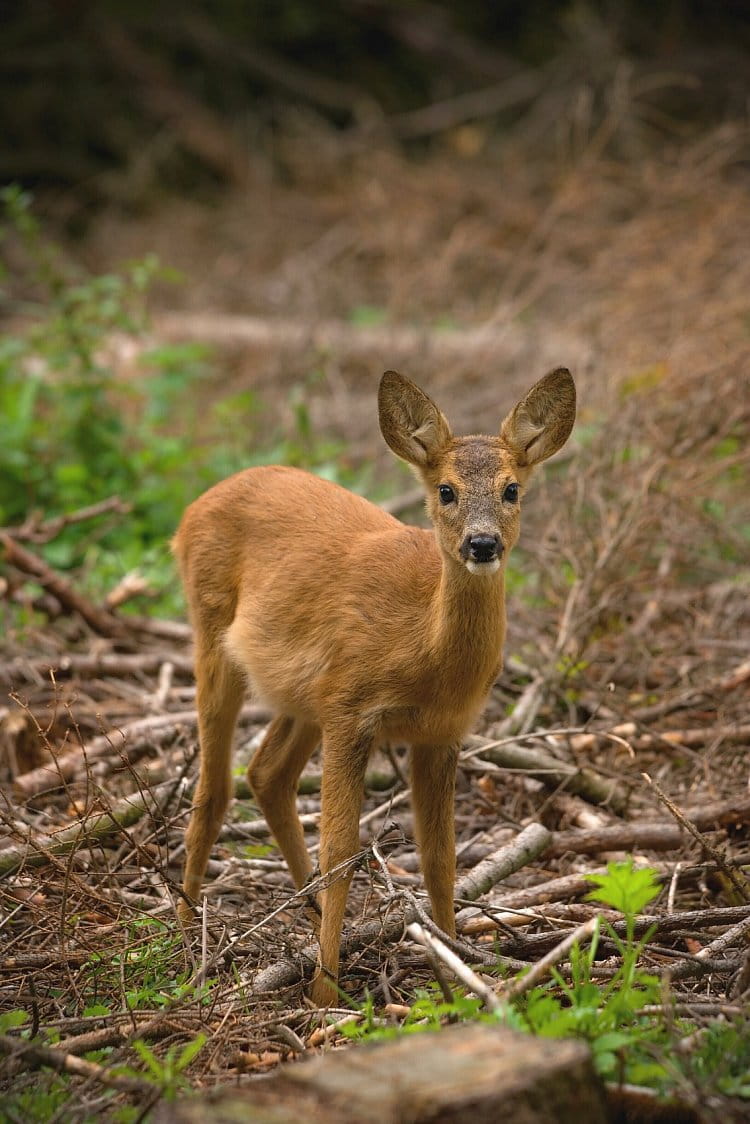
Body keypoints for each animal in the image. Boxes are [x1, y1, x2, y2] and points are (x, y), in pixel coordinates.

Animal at [173, 366, 580, 1002]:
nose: (482, 544)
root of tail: (195, 506)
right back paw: (188, 934)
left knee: (266, 773)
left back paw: (308, 916)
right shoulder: (351, 707)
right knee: (214, 788)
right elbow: (341, 847)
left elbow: (440, 854)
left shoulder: (441, 732)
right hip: (214, 634)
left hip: (305, 695)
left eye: (513, 489)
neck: (424, 653)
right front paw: (325, 995)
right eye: (446, 491)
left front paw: (455, 967)